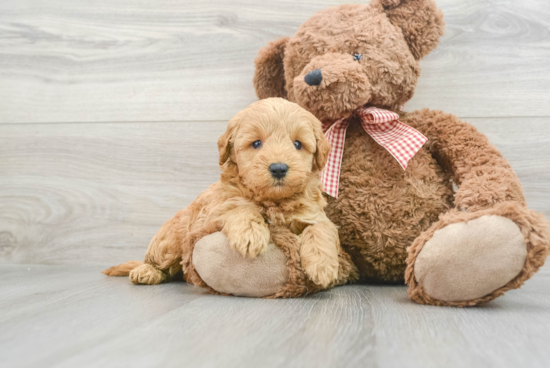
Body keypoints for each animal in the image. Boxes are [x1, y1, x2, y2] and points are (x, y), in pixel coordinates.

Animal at [103, 98, 340, 290]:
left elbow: (321, 229)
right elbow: (240, 208)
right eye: (256, 143)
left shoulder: (314, 214)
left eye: (298, 144)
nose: (279, 168)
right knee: (157, 261)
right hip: (169, 241)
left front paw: (323, 266)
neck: (273, 201)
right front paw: (250, 234)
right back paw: (146, 271)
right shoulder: (215, 213)